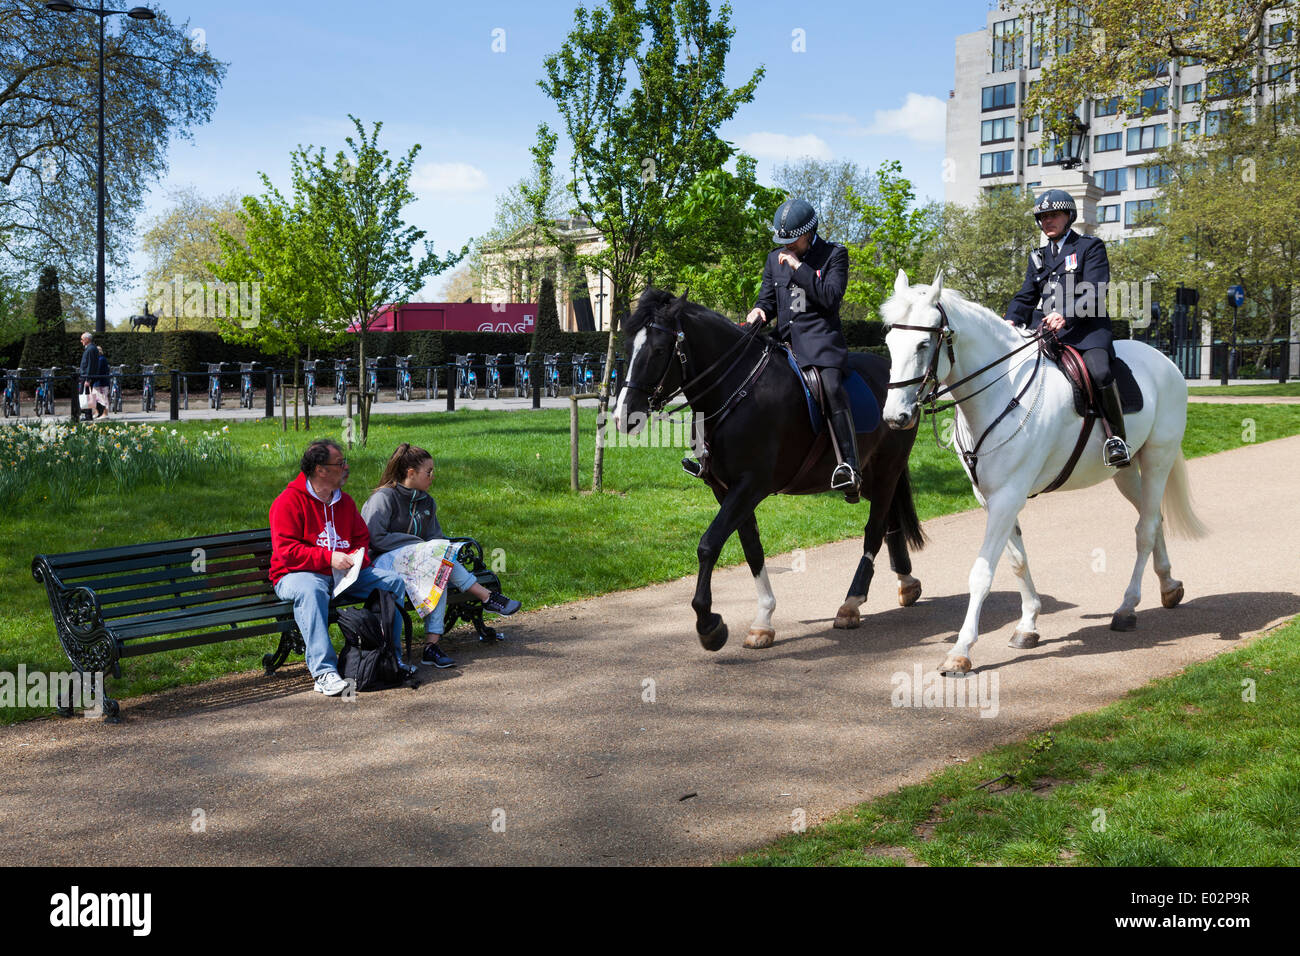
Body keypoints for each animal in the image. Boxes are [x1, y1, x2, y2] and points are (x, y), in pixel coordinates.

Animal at [611, 290, 925, 650]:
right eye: (627, 347)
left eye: (659, 350)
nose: (623, 416)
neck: (737, 390)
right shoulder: (726, 490)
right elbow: (752, 549)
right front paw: (762, 620)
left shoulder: (750, 485)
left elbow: (708, 544)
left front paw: (709, 624)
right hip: (872, 476)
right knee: (890, 521)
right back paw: (907, 582)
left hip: (888, 469)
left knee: (874, 530)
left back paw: (852, 603)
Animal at [883, 267, 1206, 671]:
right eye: (889, 341)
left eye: (923, 344)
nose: (895, 417)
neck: (1001, 392)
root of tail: (1165, 362)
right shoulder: (991, 499)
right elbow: (1017, 562)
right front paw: (1028, 625)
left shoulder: (1007, 497)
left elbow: (982, 572)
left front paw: (961, 650)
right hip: (1126, 471)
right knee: (1154, 518)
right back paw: (1168, 585)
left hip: (1158, 458)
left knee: (1145, 530)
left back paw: (1127, 607)